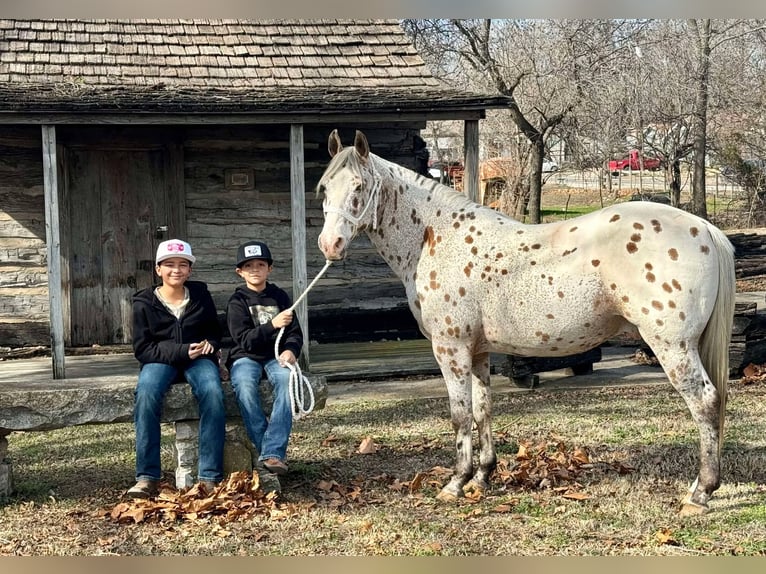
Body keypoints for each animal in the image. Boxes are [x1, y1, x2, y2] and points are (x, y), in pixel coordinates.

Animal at [318, 130, 736, 516]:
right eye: (324, 187)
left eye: (359, 187)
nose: (329, 246)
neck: (436, 238)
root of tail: (704, 229)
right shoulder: (478, 352)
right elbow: (483, 409)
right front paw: (482, 477)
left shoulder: (451, 349)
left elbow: (460, 415)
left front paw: (455, 483)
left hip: (672, 346)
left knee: (704, 401)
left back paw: (700, 493)